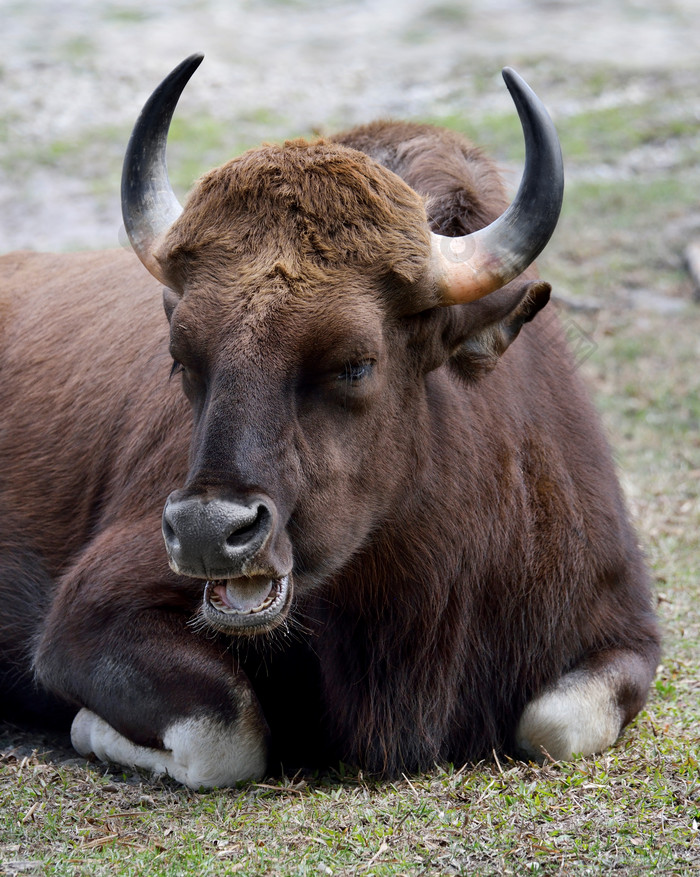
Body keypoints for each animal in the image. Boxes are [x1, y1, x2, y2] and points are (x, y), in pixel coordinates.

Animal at [0, 56, 660, 788]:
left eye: (356, 363)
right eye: (182, 357)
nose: (205, 533)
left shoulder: (626, 627)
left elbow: (558, 724)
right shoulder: (86, 616)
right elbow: (226, 732)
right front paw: (89, 727)